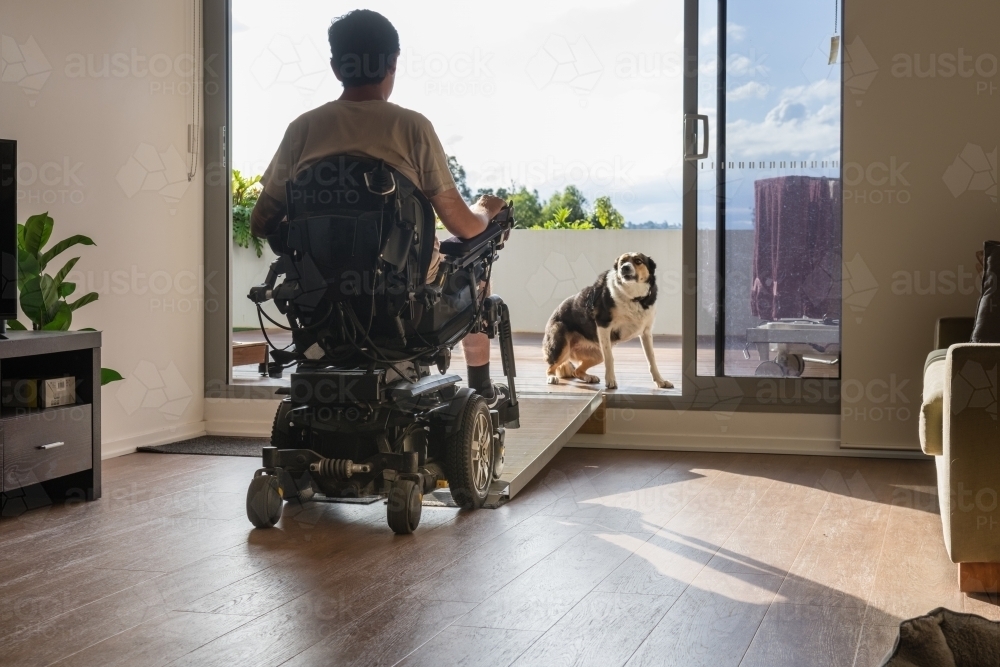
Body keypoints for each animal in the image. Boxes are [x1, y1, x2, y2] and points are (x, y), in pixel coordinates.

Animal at [544, 252, 676, 388]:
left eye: (638, 261)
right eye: (622, 262)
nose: (624, 268)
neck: (634, 297)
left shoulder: (646, 332)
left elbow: (651, 359)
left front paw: (660, 381)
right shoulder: (604, 326)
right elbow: (610, 357)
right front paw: (611, 380)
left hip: (597, 354)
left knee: (577, 371)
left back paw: (589, 377)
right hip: (562, 347)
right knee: (550, 367)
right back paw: (552, 377)